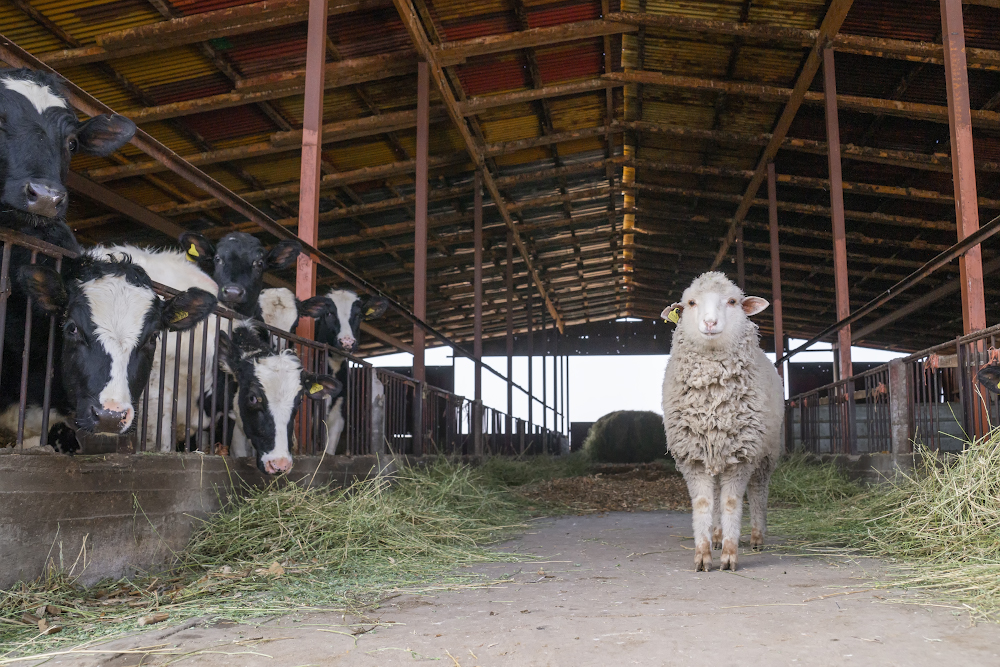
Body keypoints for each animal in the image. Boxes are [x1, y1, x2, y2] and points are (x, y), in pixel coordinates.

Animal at [660, 272, 784, 576]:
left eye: (732, 302)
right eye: (691, 303)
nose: (709, 323)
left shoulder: (741, 455)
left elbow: (731, 502)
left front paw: (729, 555)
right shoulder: (693, 456)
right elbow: (705, 503)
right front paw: (703, 554)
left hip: (766, 452)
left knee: (759, 491)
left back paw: (757, 536)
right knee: (717, 493)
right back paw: (716, 535)